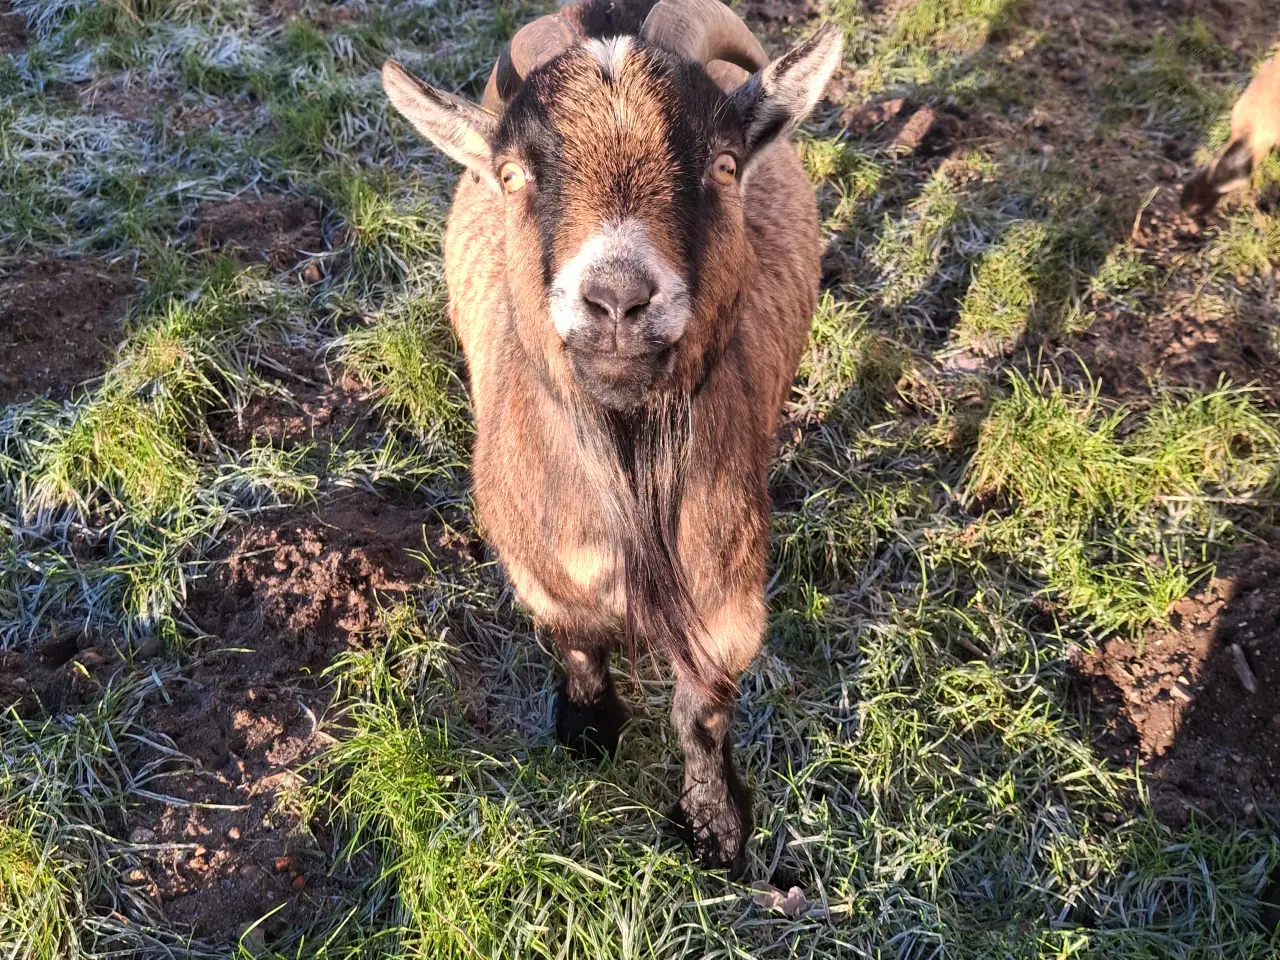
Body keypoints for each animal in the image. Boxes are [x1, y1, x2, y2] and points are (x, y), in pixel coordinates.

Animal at [378, 0, 839, 870]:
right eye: (514, 176)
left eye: (723, 164)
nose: (618, 298)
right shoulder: (540, 570)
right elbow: (579, 643)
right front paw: (588, 729)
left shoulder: (727, 598)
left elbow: (702, 713)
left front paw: (715, 827)